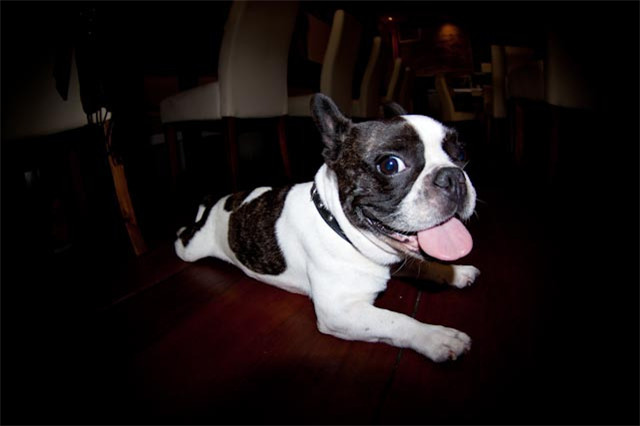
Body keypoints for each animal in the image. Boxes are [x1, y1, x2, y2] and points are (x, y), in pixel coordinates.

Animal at [175, 94, 480, 362]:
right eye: (390, 165)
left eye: (462, 153)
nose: (453, 176)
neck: (339, 226)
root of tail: (222, 202)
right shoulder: (340, 312)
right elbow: (396, 320)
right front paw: (436, 337)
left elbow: (423, 264)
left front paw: (455, 271)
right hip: (191, 248)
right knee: (183, 237)